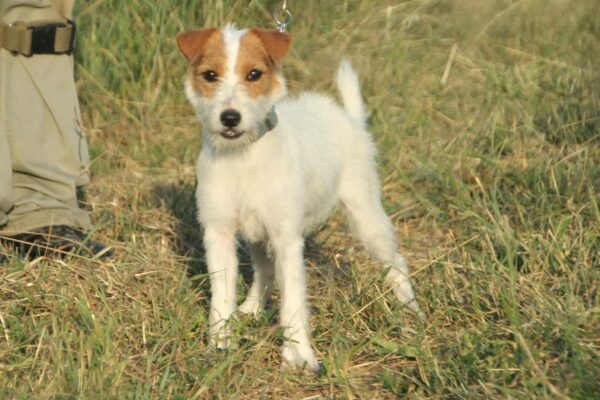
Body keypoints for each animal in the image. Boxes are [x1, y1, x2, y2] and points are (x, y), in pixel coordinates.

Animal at [177, 24, 422, 372]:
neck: (243, 157)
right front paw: (220, 346)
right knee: (264, 271)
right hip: (257, 234)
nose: (230, 118)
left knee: (396, 261)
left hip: (366, 215)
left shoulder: (287, 239)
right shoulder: (219, 233)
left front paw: (299, 356)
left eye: (254, 74)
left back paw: (410, 308)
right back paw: (251, 308)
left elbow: (293, 300)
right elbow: (220, 298)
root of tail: (348, 119)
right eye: (210, 75)